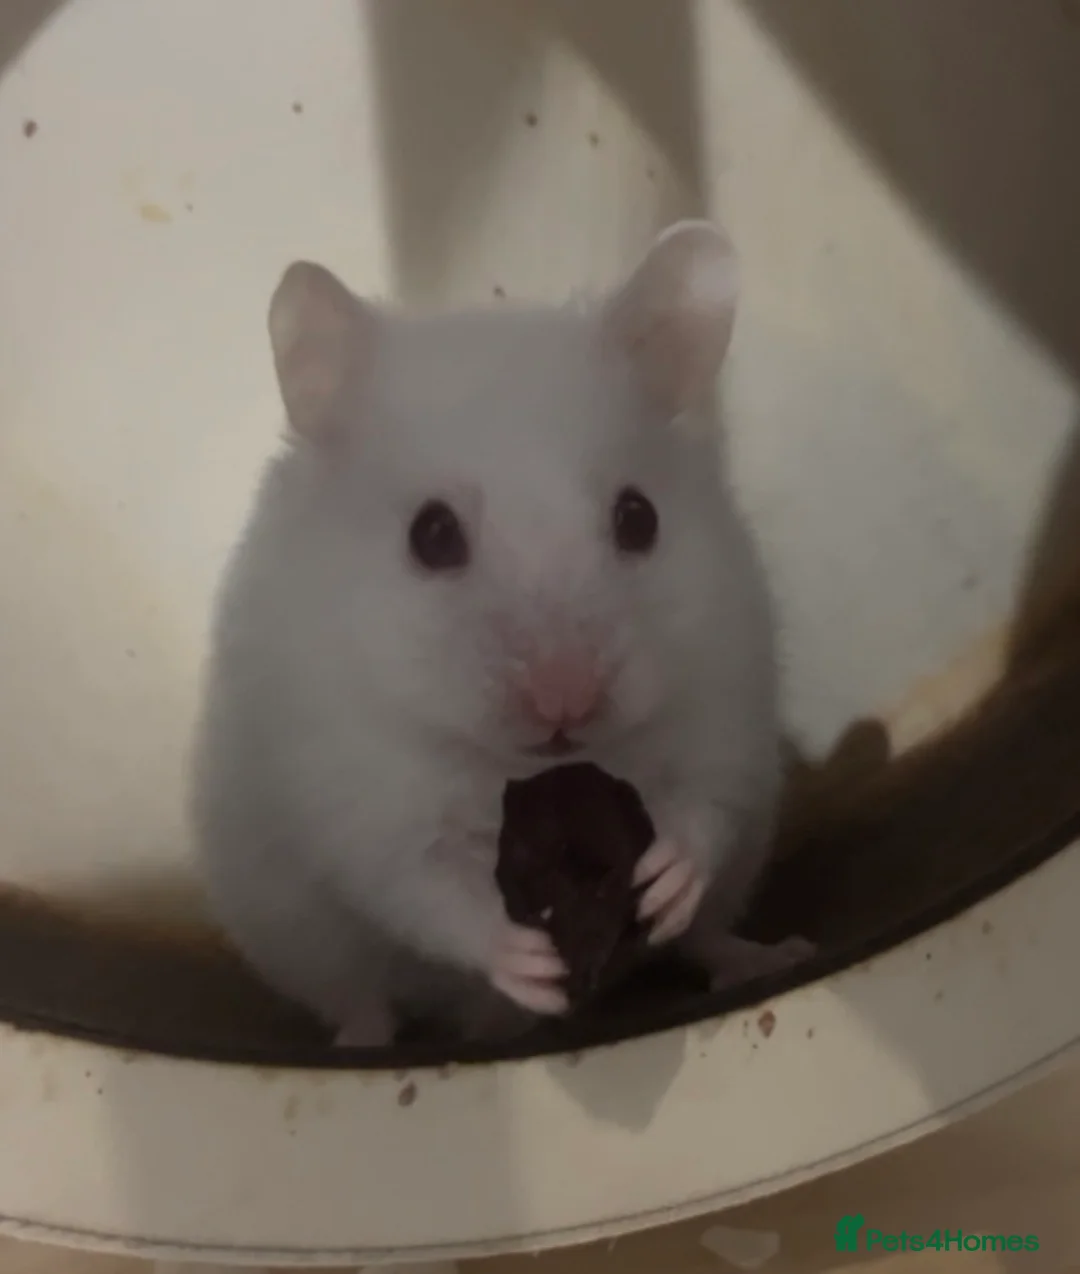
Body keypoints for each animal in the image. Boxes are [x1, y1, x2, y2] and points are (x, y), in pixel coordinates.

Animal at [190, 221, 814, 1048]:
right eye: (431, 535)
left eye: (639, 517)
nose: (565, 703)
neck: (528, 773)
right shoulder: (369, 809)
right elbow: (435, 896)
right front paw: (528, 962)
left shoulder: (724, 715)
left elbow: (702, 814)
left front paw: (662, 879)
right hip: (296, 936)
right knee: (361, 997)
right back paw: (365, 1043)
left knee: (711, 936)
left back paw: (778, 955)